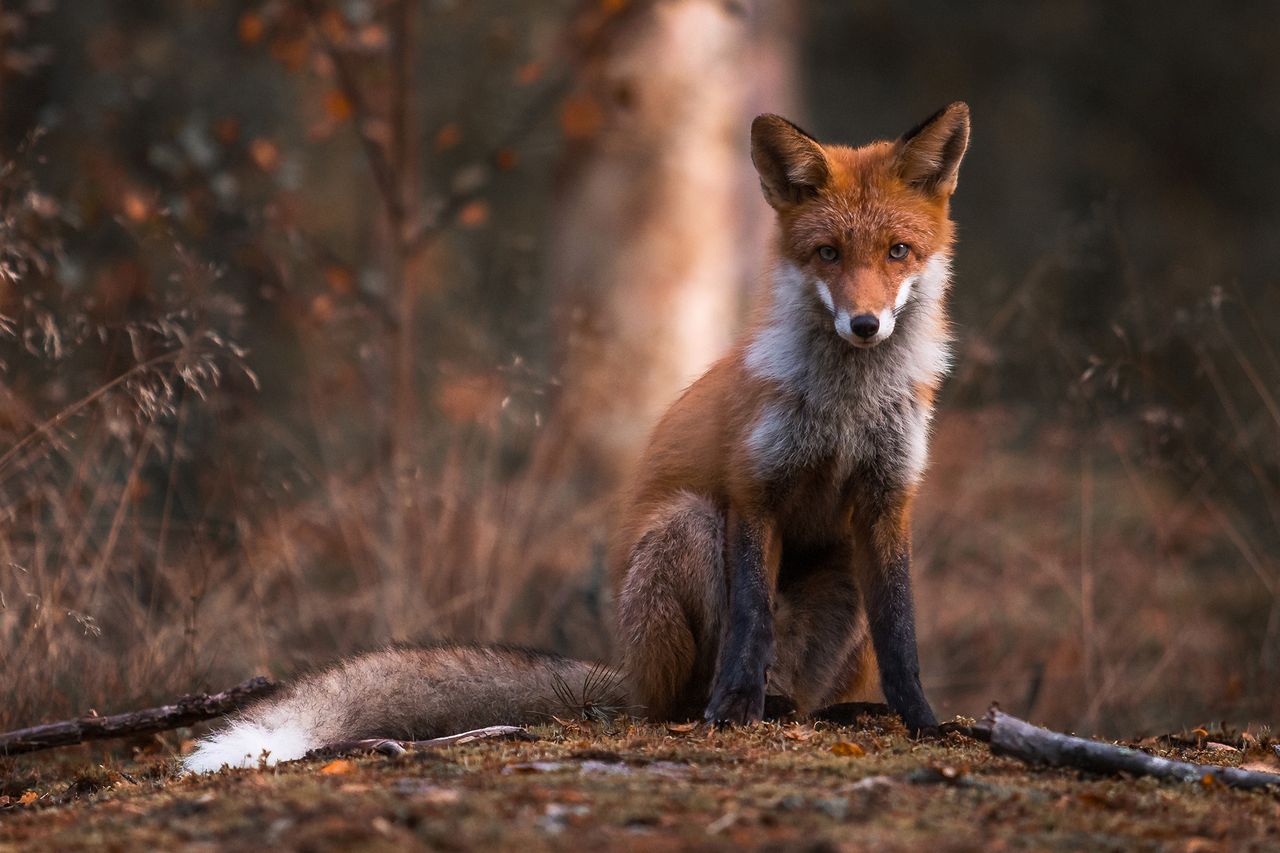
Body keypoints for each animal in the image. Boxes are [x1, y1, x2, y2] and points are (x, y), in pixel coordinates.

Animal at [185, 104, 967, 768]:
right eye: (828, 254)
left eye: (898, 251)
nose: (864, 324)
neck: (845, 408)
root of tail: (627, 671)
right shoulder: (755, 489)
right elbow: (749, 623)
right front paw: (734, 709)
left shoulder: (887, 501)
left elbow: (902, 634)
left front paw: (924, 720)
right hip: (686, 530)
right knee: (681, 695)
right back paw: (733, 708)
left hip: (840, 570)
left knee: (811, 693)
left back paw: (829, 712)